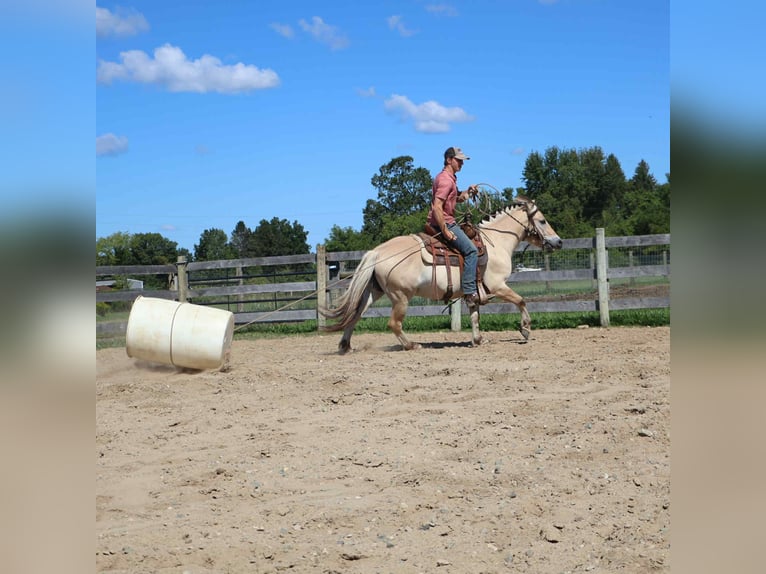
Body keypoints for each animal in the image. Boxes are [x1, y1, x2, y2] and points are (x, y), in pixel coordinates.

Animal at [319, 196, 562, 353]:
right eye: (542, 221)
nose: (558, 242)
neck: (495, 243)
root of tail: (376, 251)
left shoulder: (473, 293)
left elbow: (475, 316)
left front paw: (478, 340)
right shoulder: (497, 286)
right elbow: (521, 301)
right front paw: (525, 329)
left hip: (374, 291)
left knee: (355, 314)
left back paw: (345, 346)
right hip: (401, 296)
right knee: (394, 323)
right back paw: (411, 345)